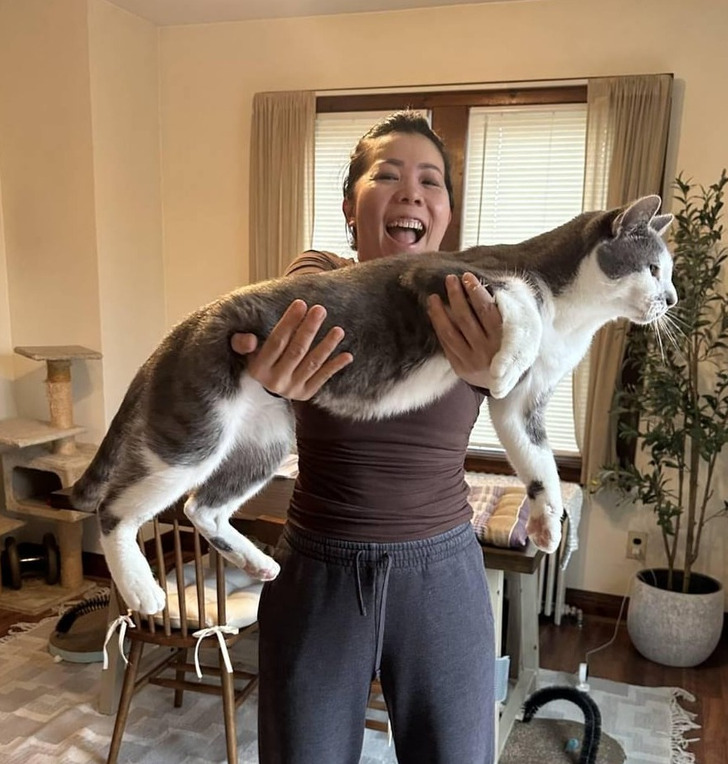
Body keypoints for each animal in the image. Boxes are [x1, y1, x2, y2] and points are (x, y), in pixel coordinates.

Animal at [71, 195, 675, 615]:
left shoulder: (524, 407)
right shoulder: (444, 274)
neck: (573, 318)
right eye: (652, 268)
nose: (670, 298)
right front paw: (506, 361)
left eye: (667, 274)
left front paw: (548, 521)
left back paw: (257, 561)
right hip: (197, 426)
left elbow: (539, 463)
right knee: (117, 509)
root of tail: (182, 327)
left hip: (267, 439)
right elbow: (521, 297)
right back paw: (142, 589)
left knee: (202, 506)